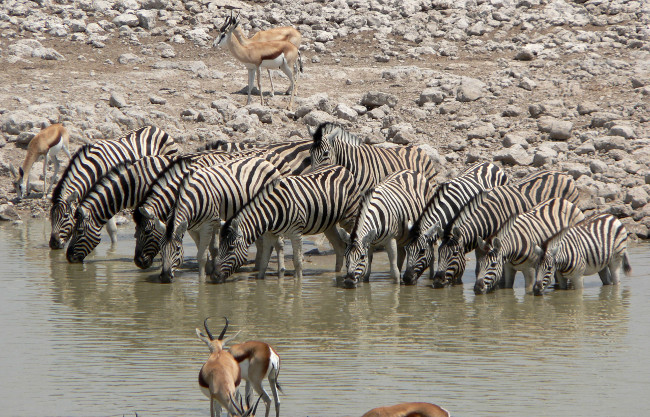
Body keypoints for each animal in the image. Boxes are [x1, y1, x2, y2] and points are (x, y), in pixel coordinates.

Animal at [49, 125, 178, 250]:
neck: (94, 170)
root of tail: (155, 128)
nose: (53, 244)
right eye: (51, 216)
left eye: (66, 216)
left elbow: (111, 228)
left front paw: (113, 249)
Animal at [212, 165, 361, 283]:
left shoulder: (296, 232)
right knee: (339, 246)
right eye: (221, 246)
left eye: (231, 248)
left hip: (349, 217)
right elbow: (264, 262)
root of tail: (342, 168)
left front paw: (297, 283)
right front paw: (260, 283)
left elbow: (297, 261)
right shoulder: (269, 235)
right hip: (328, 223)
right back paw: (336, 273)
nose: (215, 276)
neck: (272, 212)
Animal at [435, 170, 579, 288]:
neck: (488, 216)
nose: (437, 281)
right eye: (439, 253)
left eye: (454, 254)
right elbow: (480, 267)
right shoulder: (482, 244)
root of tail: (563, 174)